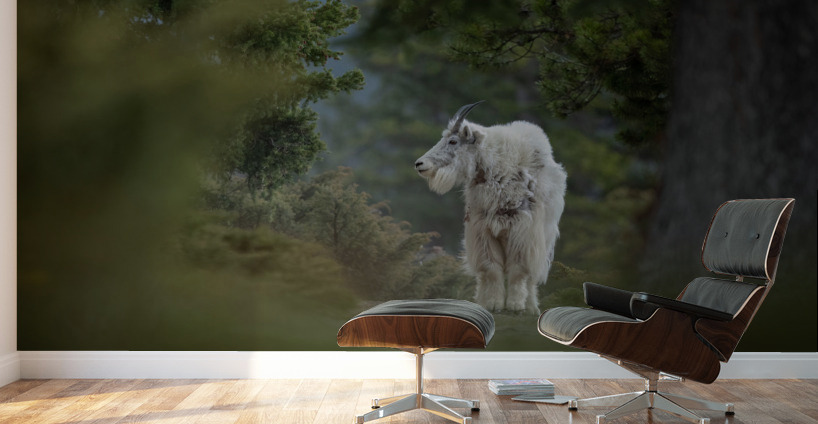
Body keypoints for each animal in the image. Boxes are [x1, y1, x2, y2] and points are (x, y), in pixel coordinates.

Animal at [415, 102, 567, 314]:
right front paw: (494, 304)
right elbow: (491, 268)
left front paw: (515, 305)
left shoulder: (523, 231)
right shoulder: (482, 231)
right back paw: (481, 300)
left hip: (545, 236)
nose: (420, 164)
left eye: (453, 141)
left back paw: (530, 307)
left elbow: (519, 269)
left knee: (532, 275)